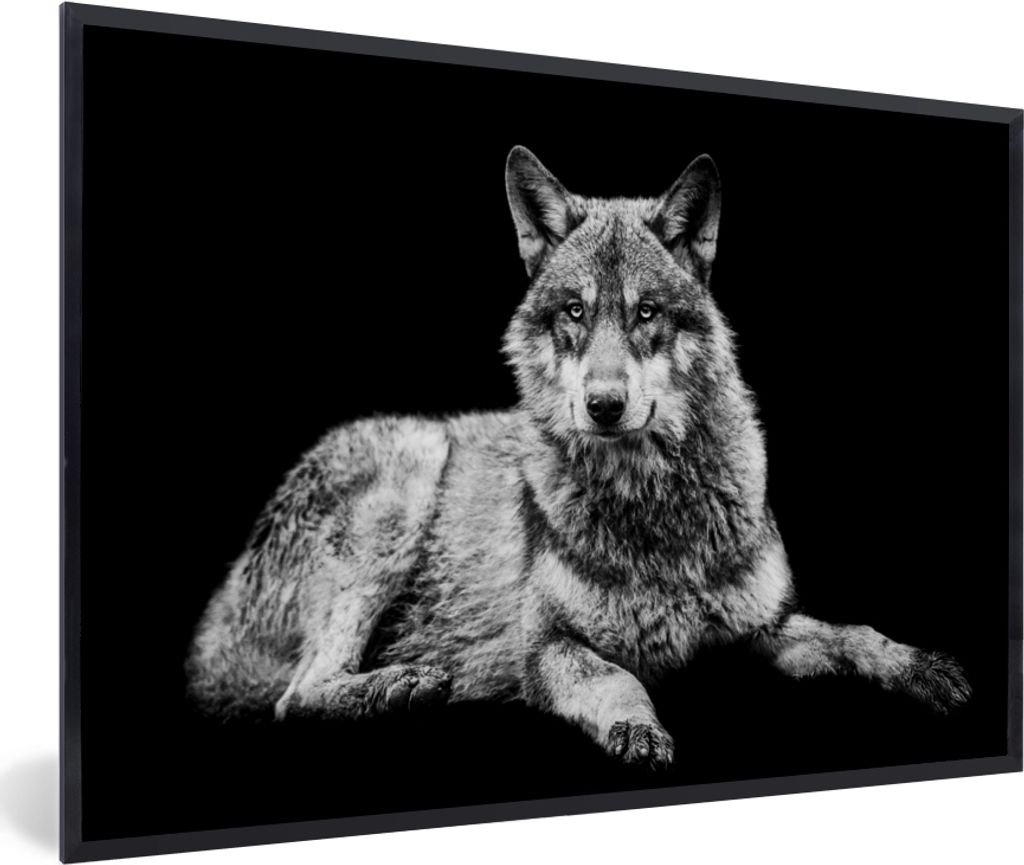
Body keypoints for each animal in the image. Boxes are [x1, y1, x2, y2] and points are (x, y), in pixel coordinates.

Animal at [187, 147, 970, 768]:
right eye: (574, 312)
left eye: (646, 312)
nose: (604, 405)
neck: (653, 507)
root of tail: (220, 610)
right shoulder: (545, 649)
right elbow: (618, 678)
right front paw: (637, 729)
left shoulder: (763, 631)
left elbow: (854, 633)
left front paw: (921, 667)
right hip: (408, 476)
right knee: (294, 698)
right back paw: (401, 685)